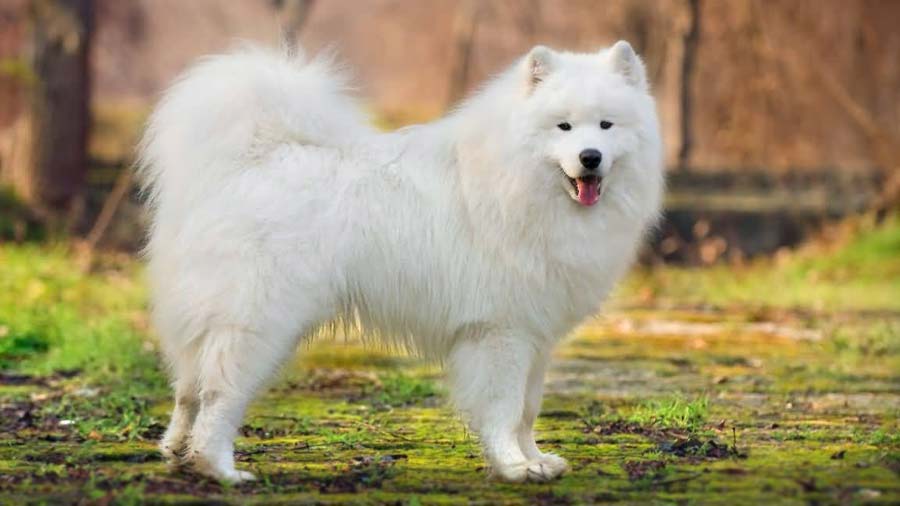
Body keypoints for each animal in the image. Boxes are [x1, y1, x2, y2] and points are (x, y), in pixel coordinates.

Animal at [137, 39, 664, 482]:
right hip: (259, 319)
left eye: (606, 125)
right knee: (220, 393)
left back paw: (178, 452)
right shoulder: (500, 332)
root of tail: (250, 159)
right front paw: (514, 467)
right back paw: (219, 469)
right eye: (564, 127)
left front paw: (536, 459)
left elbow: (528, 410)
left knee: (189, 387)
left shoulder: (536, 335)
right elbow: (504, 408)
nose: (590, 157)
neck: (518, 182)